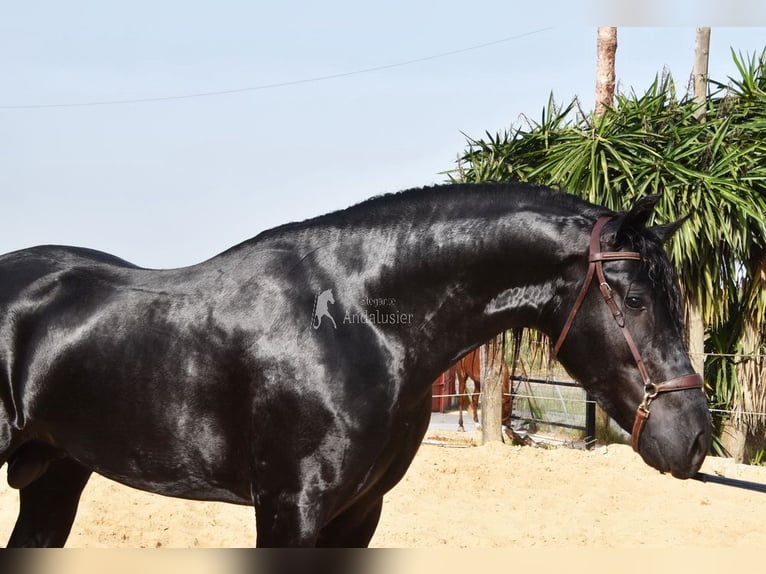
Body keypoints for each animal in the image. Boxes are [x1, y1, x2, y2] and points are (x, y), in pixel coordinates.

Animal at [0, 182, 711, 547]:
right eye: (637, 300)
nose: (696, 439)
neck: (355, 323)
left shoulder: (358, 514)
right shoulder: (289, 511)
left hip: (54, 476)